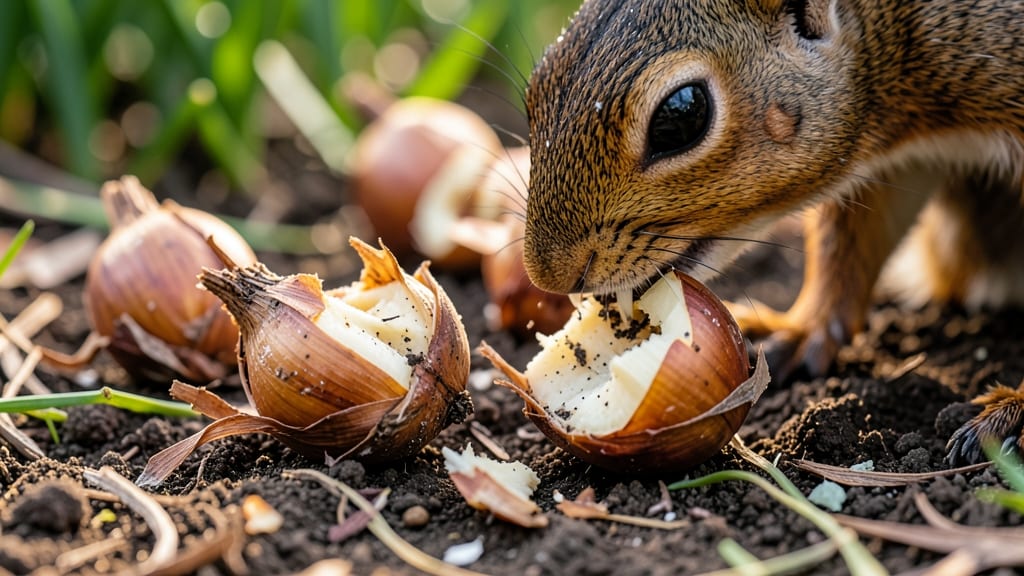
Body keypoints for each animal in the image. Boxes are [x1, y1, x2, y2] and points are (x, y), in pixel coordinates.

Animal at [520, 0, 1024, 465]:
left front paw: (1012, 415)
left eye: (681, 116)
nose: (549, 276)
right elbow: (852, 240)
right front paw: (801, 333)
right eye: (538, 85)